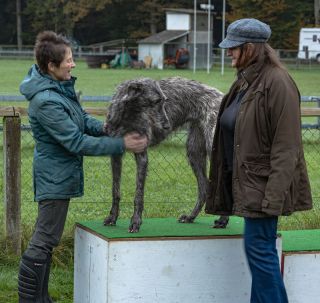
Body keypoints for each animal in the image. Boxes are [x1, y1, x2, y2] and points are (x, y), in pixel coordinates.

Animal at [104, 76, 228, 233]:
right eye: (156, 101)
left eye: (164, 100)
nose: (167, 126)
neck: (128, 114)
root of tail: (220, 95)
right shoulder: (115, 156)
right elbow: (115, 191)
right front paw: (112, 217)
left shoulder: (142, 156)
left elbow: (138, 194)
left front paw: (136, 222)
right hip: (194, 152)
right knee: (204, 188)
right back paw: (190, 217)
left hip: (212, 147)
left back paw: (223, 220)